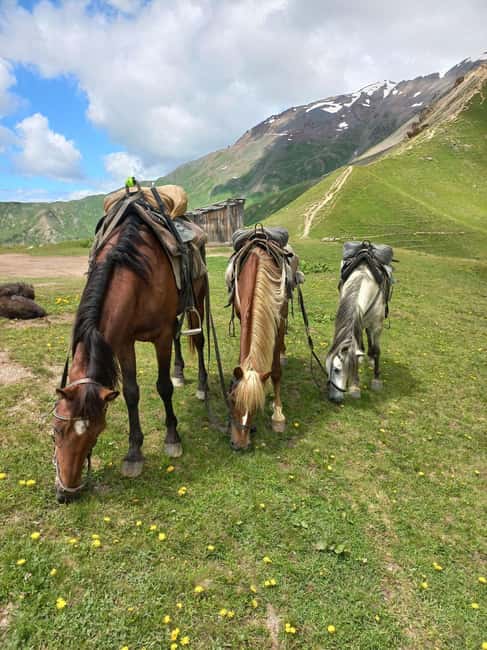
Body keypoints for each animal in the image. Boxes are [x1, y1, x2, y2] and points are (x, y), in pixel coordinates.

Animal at [51, 211, 208, 503]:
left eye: (96, 432)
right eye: (56, 429)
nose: (65, 493)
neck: (135, 275)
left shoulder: (160, 336)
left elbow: (163, 387)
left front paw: (172, 438)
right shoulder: (124, 342)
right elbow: (131, 392)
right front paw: (134, 453)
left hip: (199, 301)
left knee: (200, 341)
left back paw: (203, 386)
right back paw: (179, 372)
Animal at [227, 245, 289, 450]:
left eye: (255, 407)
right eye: (232, 400)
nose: (240, 445)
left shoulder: (279, 322)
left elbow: (276, 372)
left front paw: (278, 415)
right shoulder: (241, 315)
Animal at [326, 263, 388, 403]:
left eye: (337, 370)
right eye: (328, 367)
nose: (334, 398)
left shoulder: (377, 326)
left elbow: (377, 350)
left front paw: (376, 380)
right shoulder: (358, 322)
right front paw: (355, 386)